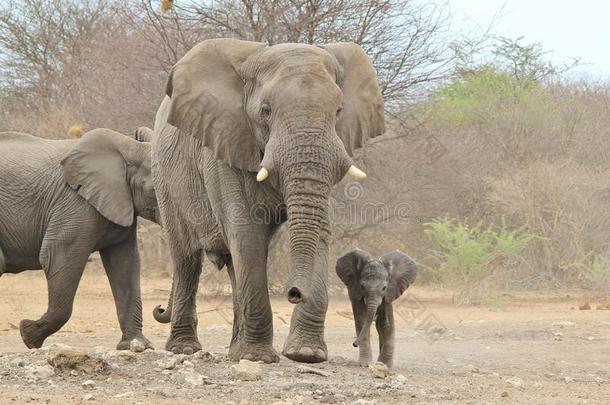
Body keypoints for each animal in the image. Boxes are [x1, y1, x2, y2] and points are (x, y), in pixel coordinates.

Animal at [0, 128, 159, 348]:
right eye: (155, 190)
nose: (159, 309)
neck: (129, 147)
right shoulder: (75, 203)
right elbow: (56, 256)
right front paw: (28, 336)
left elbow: (125, 264)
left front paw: (137, 346)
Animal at [150, 38, 382, 362]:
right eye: (265, 111)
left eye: (338, 111)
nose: (294, 293)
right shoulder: (224, 144)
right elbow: (246, 233)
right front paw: (257, 358)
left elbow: (320, 230)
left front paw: (306, 354)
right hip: (165, 179)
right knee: (186, 258)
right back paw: (185, 348)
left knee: (233, 267)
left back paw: (234, 350)